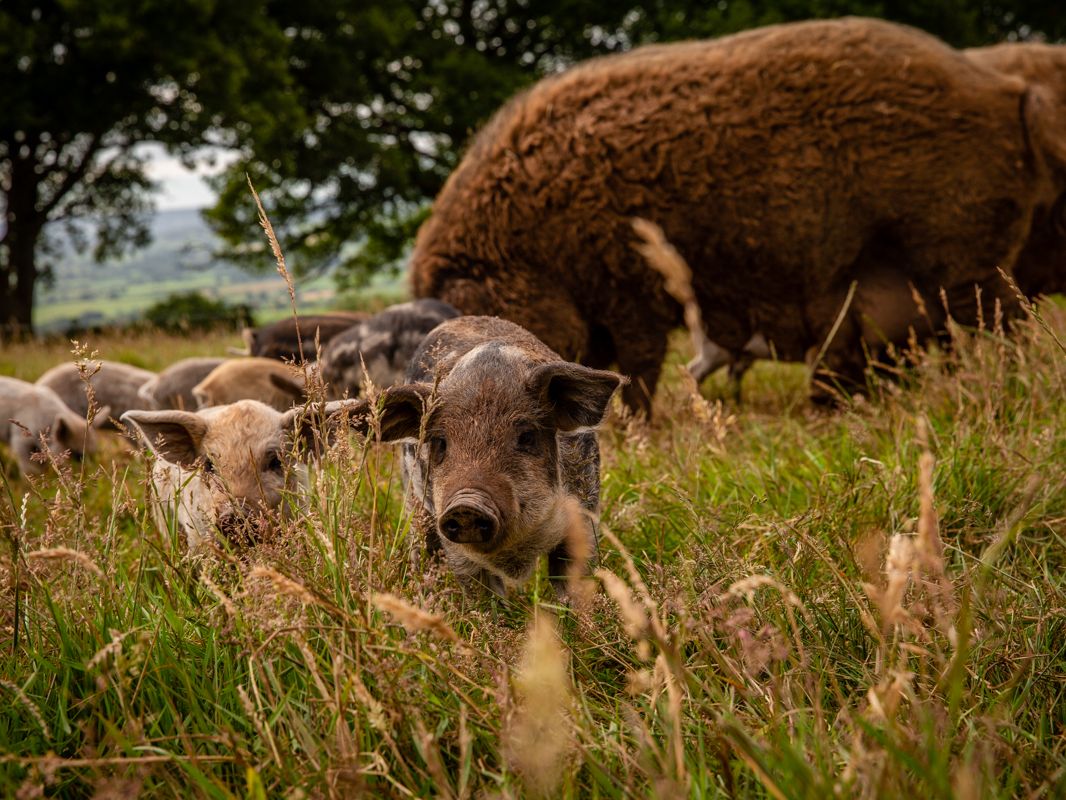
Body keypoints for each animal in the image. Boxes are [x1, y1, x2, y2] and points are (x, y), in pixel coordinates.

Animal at [348, 316, 622, 594]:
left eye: (526, 436)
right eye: (440, 442)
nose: (466, 505)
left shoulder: (585, 512)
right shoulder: (454, 543)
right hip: (415, 501)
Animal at [410, 18, 1066, 412]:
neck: (535, 244)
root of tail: (1008, 92)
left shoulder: (630, 292)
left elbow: (638, 368)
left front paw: (636, 426)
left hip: (964, 257)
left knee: (1006, 329)